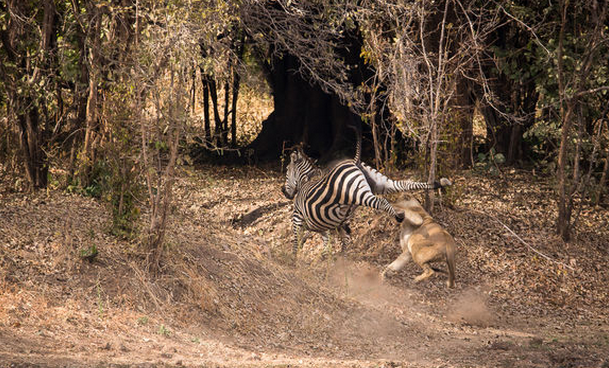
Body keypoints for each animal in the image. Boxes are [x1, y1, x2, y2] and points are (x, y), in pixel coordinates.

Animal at [282, 144, 448, 256]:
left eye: (287, 171)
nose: (284, 192)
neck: (306, 181)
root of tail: (354, 161)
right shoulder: (331, 222)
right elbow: (335, 237)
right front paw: (334, 256)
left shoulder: (299, 215)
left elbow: (298, 239)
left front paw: (294, 260)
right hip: (381, 182)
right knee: (404, 184)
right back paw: (439, 183)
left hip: (358, 193)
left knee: (381, 202)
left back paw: (399, 216)